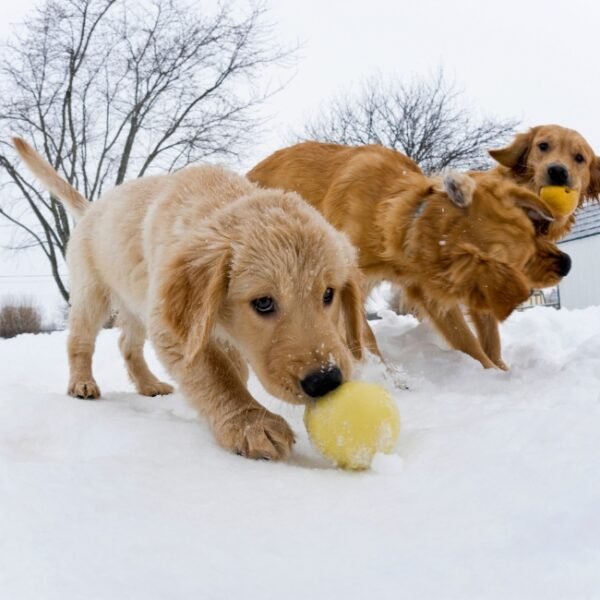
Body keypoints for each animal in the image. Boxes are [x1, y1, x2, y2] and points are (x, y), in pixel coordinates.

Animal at [12, 138, 366, 462]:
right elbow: (213, 373)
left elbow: (231, 367)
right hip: (93, 293)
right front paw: (249, 423)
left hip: (137, 303)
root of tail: (91, 208)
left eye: (329, 294)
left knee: (127, 344)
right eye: (263, 302)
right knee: (80, 341)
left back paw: (149, 384)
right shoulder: (176, 326)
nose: (326, 381)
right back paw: (82, 383)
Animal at [248, 144, 572, 372]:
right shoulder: (348, 285)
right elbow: (365, 336)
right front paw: (386, 375)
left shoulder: (427, 291)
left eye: (534, 232)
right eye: (521, 262)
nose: (567, 264)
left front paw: (493, 372)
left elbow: (467, 340)